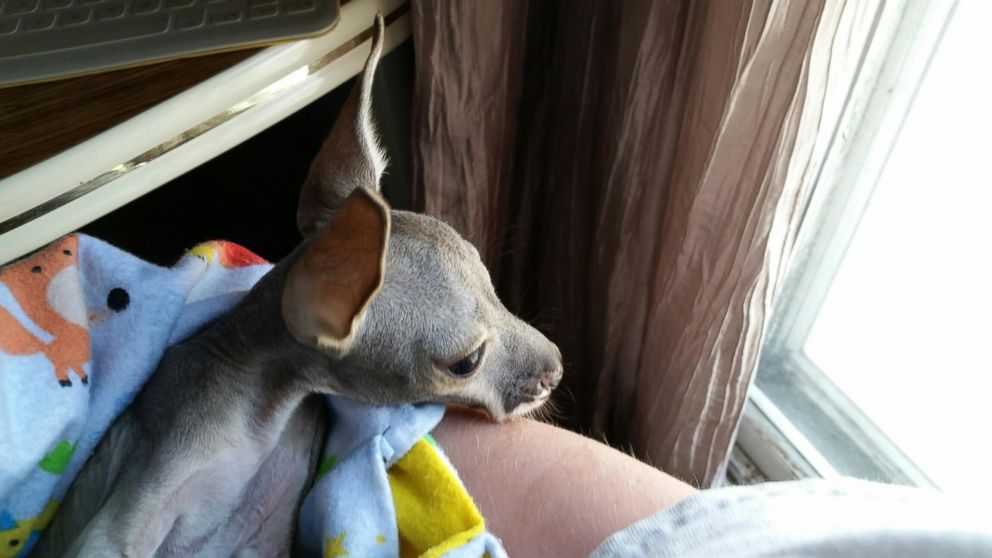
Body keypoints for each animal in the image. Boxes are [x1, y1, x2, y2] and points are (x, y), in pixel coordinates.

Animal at [35, 13, 560, 558]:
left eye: (491, 282)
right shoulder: (147, 482)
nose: (556, 369)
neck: (259, 415)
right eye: (466, 362)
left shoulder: (267, 529)